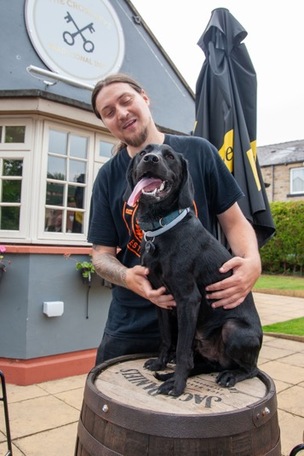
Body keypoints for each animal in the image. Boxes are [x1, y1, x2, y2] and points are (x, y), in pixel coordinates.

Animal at [124, 142, 262, 396]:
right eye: (143, 152)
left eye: (169, 156)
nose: (150, 159)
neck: (161, 227)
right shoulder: (160, 297)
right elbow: (166, 338)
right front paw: (160, 364)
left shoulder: (188, 299)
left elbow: (180, 351)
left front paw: (177, 386)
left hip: (233, 329)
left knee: (251, 369)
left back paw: (230, 375)